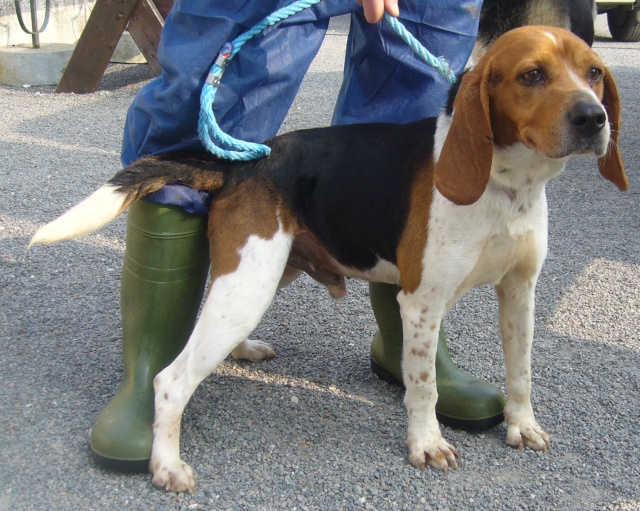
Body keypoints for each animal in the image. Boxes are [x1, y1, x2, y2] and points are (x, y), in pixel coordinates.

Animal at [30, 26, 624, 494]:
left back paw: (240, 352)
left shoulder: (520, 293)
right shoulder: (423, 302)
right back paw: (166, 464)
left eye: (594, 72)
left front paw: (521, 426)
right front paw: (426, 443)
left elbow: (520, 372)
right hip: (250, 283)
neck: (507, 185)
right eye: (531, 75)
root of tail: (245, 162)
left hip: (264, 273)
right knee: (171, 381)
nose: (593, 119)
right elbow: (423, 384)